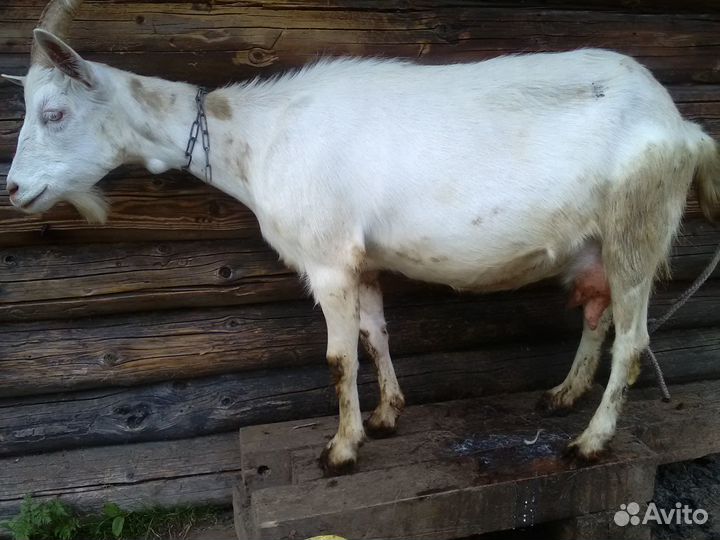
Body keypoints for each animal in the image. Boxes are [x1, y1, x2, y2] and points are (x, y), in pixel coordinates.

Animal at [5, 0, 720, 475]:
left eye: (54, 112)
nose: (13, 190)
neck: (257, 140)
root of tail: (681, 125)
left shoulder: (326, 260)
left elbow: (337, 358)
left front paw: (341, 449)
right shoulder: (361, 259)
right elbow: (376, 336)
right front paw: (386, 416)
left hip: (637, 229)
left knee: (633, 341)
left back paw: (589, 442)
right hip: (595, 243)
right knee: (598, 318)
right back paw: (561, 397)